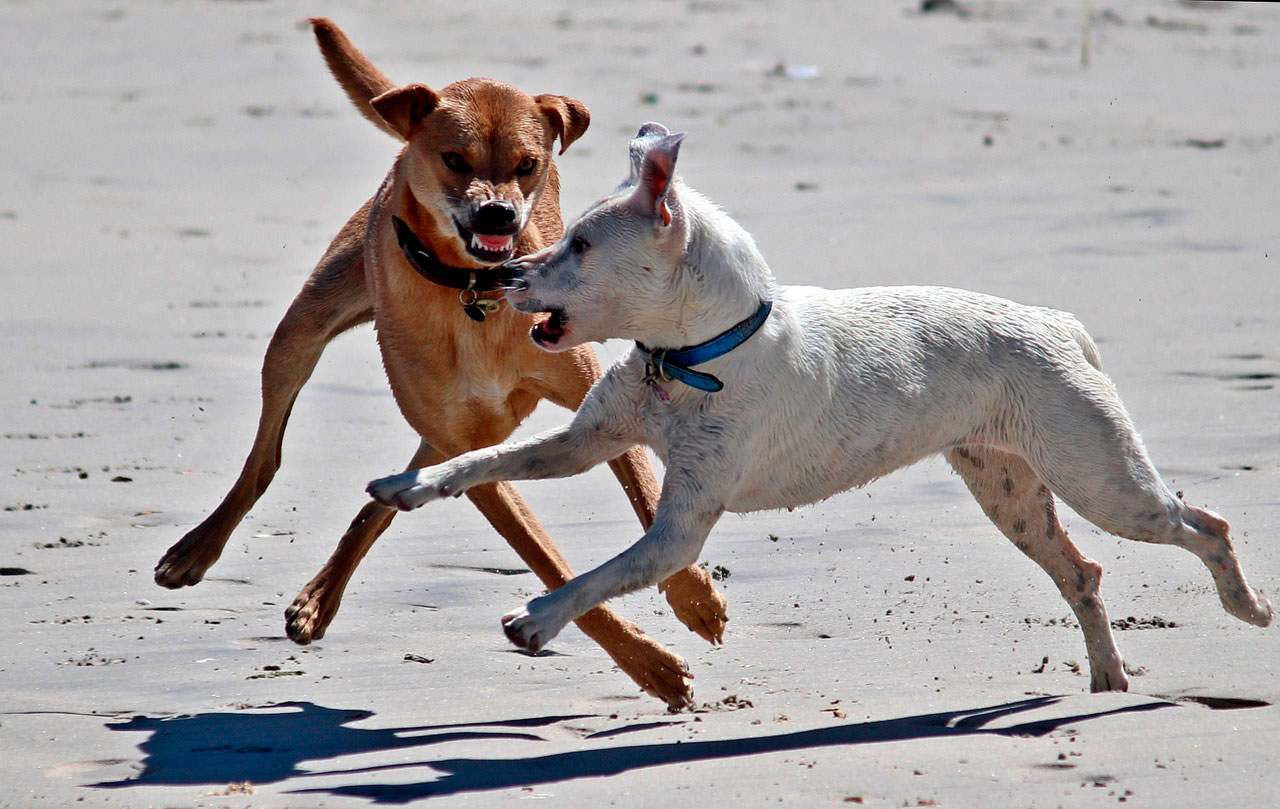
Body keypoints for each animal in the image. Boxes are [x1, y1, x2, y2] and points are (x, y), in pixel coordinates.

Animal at [152, 15, 721, 706]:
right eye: (454, 159)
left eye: (528, 165)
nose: (497, 212)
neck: (473, 294)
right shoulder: (470, 448)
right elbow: (547, 561)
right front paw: (650, 663)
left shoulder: (578, 404)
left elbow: (643, 490)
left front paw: (693, 597)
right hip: (304, 331)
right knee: (266, 457)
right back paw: (201, 549)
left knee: (390, 488)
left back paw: (320, 593)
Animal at [371, 123, 1269, 691]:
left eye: (581, 245)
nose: (500, 275)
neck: (696, 355)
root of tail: (1058, 322)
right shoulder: (587, 442)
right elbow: (482, 459)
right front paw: (408, 486)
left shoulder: (678, 532)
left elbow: (599, 576)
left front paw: (538, 619)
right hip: (1011, 493)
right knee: (1083, 571)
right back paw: (1108, 675)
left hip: (1102, 480)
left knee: (1205, 524)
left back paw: (1247, 606)